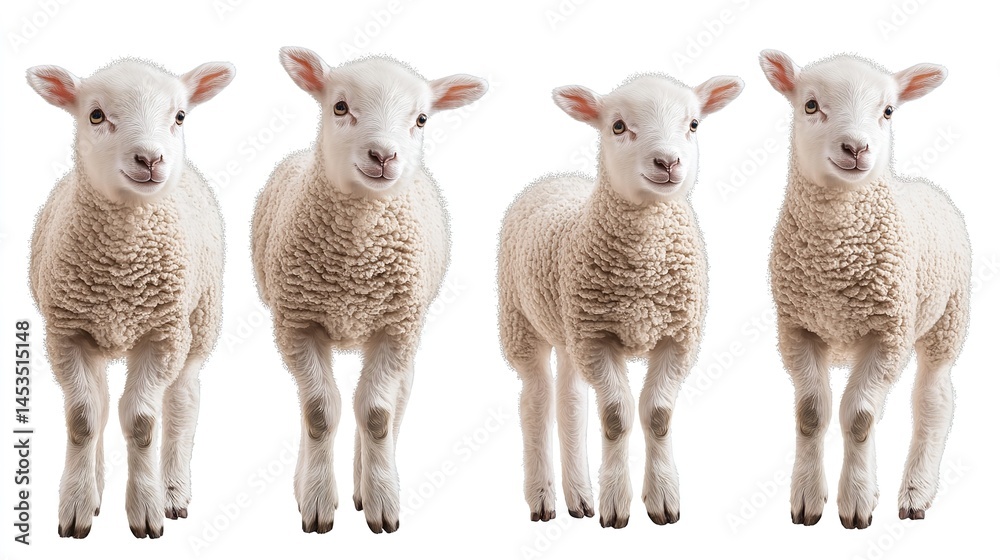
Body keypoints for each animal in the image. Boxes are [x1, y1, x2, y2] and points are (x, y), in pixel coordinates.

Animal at [26, 58, 234, 538]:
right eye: (96, 115)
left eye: (180, 116)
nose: (150, 159)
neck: (121, 273)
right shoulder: (67, 332)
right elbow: (83, 419)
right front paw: (77, 506)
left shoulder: (162, 336)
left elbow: (141, 423)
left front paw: (146, 510)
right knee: (101, 404)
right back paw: (98, 489)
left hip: (198, 323)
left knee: (181, 403)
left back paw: (173, 491)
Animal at [251, 47, 487, 534]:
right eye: (340, 107)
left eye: (421, 119)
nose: (383, 155)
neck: (355, 264)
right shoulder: (298, 323)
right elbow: (319, 414)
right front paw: (316, 501)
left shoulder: (395, 327)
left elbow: (377, 415)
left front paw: (381, 500)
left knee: (392, 402)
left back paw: (367, 484)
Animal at [498, 73, 743, 528]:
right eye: (617, 126)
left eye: (694, 124)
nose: (668, 162)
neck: (643, 277)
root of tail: (554, 178)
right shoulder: (599, 338)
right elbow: (615, 417)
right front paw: (615, 504)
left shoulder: (677, 337)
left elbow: (658, 416)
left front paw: (662, 499)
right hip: (521, 320)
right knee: (535, 401)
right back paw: (543, 497)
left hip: (569, 328)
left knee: (571, 402)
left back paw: (579, 497)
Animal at [759, 49, 971, 529]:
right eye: (811, 105)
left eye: (888, 111)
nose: (856, 148)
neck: (837, 261)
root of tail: (925, 185)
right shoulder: (796, 327)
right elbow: (811, 414)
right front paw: (808, 499)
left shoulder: (888, 332)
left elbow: (859, 418)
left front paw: (855, 502)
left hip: (947, 318)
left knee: (934, 399)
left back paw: (915, 493)